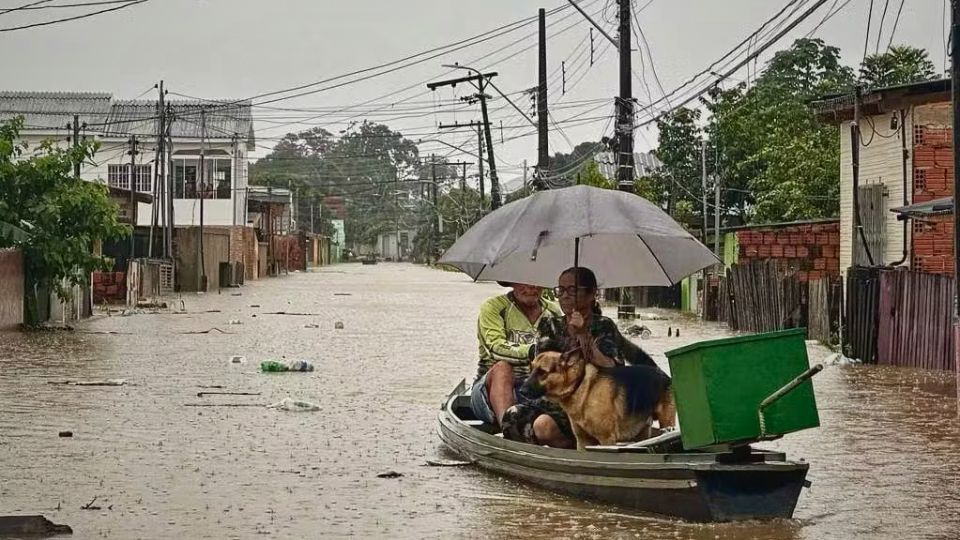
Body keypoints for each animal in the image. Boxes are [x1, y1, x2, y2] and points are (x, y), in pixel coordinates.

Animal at [520, 348, 672, 450]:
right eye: (531, 369)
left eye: (542, 372)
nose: (521, 391)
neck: (580, 385)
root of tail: (659, 371)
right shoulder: (583, 441)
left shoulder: (607, 440)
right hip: (642, 431)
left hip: (666, 421)